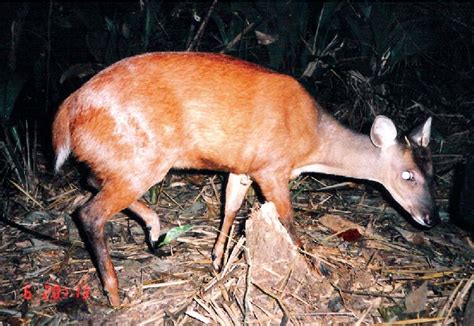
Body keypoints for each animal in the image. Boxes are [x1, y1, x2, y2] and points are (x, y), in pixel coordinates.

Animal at [52, 51, 436, 306]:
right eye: (408, 175)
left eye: (431, 172)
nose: (430, 217)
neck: (314, 142)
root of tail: (66, 113)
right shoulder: (272, 168)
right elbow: (289, 223)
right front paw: (314, 273)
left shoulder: (243, 167)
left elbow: (231, 208)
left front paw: (218, 260)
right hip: (144, 156)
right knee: (90, 213)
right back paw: (116, 294)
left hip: (123, 158)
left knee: (91, 182)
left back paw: (154, 228)